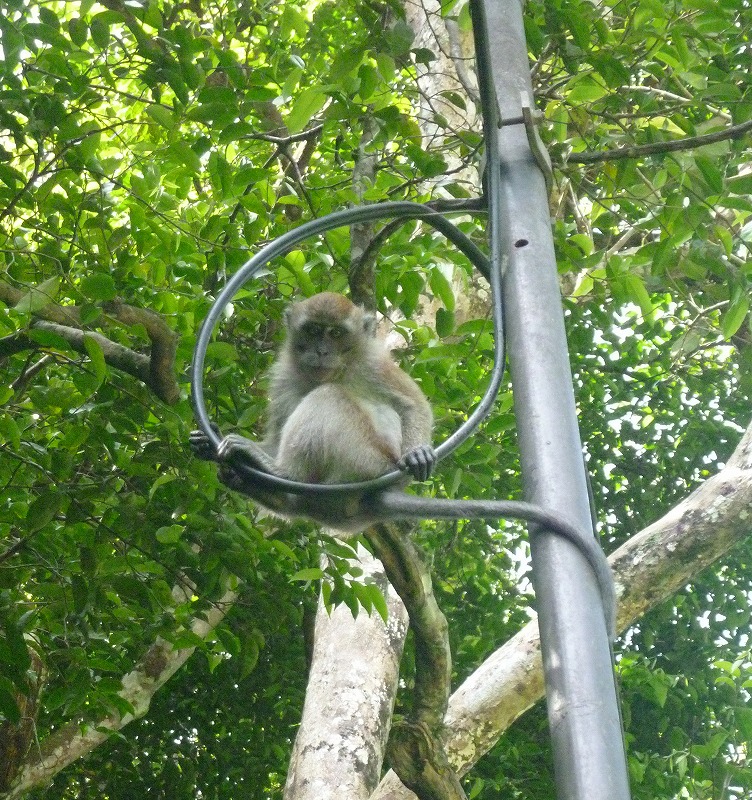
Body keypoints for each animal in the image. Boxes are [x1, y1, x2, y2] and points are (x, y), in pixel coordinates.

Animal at [189, 294, 434, 490]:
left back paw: (285, 472)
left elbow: (414, 404)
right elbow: (276, 440)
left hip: (367, 459)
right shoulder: (284, 378)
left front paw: (416, 452)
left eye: (336, 333)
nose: (322, 351)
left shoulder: (372, 365)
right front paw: (207, 440)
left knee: (327, 395)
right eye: (313, 330)